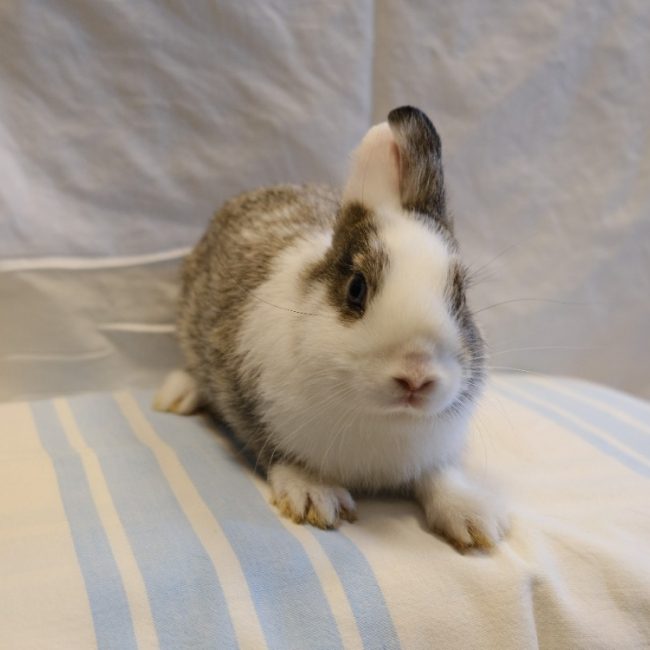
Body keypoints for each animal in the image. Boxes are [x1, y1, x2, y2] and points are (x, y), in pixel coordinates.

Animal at [155, 106, 509, 551]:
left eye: (460, 297)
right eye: (356, 289)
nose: (416, 378)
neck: (382, 417)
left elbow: (439, 475)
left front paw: (474, 520)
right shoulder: (247, 401)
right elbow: (275, 451)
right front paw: (314, 496)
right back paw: (176, 396)